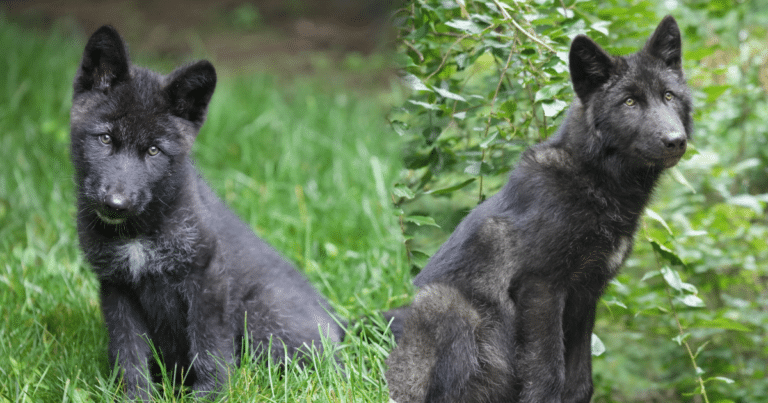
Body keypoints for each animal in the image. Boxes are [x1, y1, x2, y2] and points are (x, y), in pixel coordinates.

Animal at [70, 25, 344, 400]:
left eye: (153, 151)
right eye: (105, 138)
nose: (116, 203)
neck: (140, 232)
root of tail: (340, 324)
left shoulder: (206, 275)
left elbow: (208, 346)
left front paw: (210, 395)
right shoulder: (117, 287)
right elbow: (129, 353)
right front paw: (136, 396)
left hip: (262, 315)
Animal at [385, 16, 691, 403]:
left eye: (668, 96)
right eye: (629, 102)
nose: (675, 140)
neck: (594, 183)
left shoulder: (586, 295)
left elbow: (579, 382)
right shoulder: (541, 288)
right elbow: (547, 374)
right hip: (448, 304)